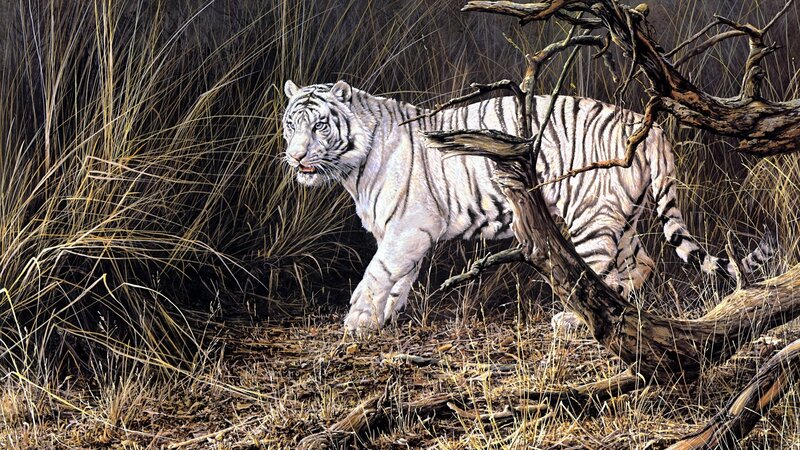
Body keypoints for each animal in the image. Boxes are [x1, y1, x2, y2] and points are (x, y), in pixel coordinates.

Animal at [280, 79, 774, 334]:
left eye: (320, 125)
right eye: (290, 124)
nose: (296, 156)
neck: (351, 168)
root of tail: (645, 124)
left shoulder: (411, 227)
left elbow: (377, 273)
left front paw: (357, 322)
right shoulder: (400, 234)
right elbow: (397, 278)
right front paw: (383, 320)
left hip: (591, 216)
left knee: (599, 270)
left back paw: (574, 320)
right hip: (624, 217)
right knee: (642, 263)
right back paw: (620, 306)